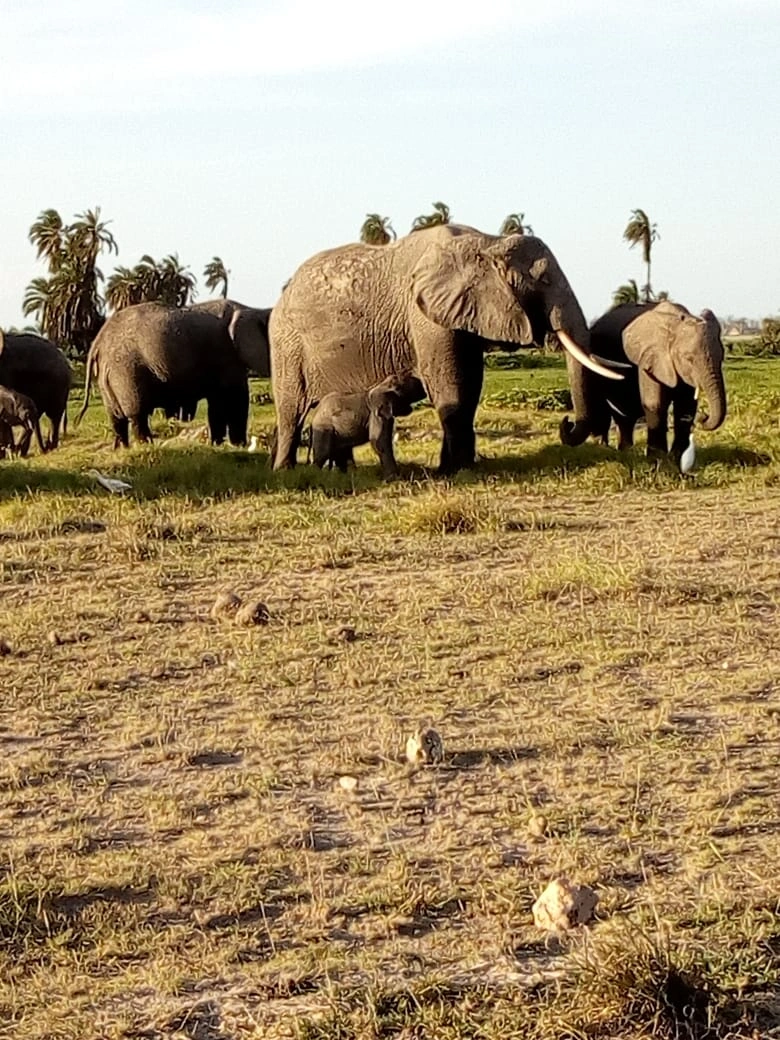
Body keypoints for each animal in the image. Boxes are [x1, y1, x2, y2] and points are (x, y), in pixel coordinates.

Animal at [78, 299, 271, 447]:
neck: (254, 310)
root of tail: (97, 342)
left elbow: (217, 403)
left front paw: (218, 445)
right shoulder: (227, 354)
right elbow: (236, 399)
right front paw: (238, 446)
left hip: (106, 373)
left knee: (116, 418)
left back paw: (122, 449)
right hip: (125, 369)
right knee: (137, 414)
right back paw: (146, 446)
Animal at [269, 224, 623, 473]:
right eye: (543, 280)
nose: (566, 423)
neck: (487, 241)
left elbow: (469, 387)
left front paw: (453, 467)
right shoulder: (426, 319)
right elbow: (451, 386)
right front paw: (459, 470)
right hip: (286, 344)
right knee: (290, 412)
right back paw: (285, 472)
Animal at [559, 301, 726, 466]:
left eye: (722, 356)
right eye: (689, 358)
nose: (703, 417)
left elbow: (686, 406)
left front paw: (676, 458)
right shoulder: (649, 360)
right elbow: (655, 403)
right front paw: (658, 460)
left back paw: (625, 451)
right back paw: (612, 450)